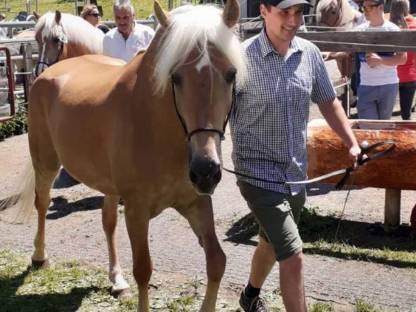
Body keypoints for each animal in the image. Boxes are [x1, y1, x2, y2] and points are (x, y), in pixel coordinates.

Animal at [10, 1, 247, 310]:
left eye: (231, 74)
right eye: (175, 77)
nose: (205, 171)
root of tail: (46, 75)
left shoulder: (196, 203)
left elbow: (217, 260)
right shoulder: (137, 210)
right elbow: (144, 269)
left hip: (108, 186)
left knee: (108, 221)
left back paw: (117, 280)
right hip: (46, 163)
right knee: (42, 203)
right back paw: (39, 257)